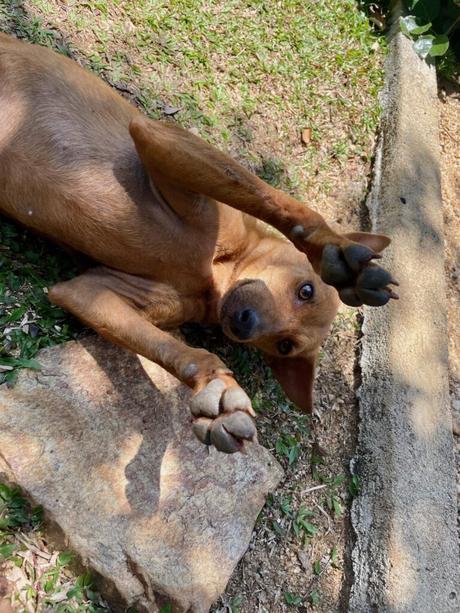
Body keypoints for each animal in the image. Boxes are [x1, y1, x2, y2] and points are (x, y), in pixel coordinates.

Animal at [0, 35, 396, 452]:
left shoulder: (86, 292)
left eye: (285, 345)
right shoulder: (161, 137)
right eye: (306, 290)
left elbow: (174, 351)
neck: (213, 278)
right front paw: (333, 251)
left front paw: (215, 386)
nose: (245, 325)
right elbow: (272, 199)